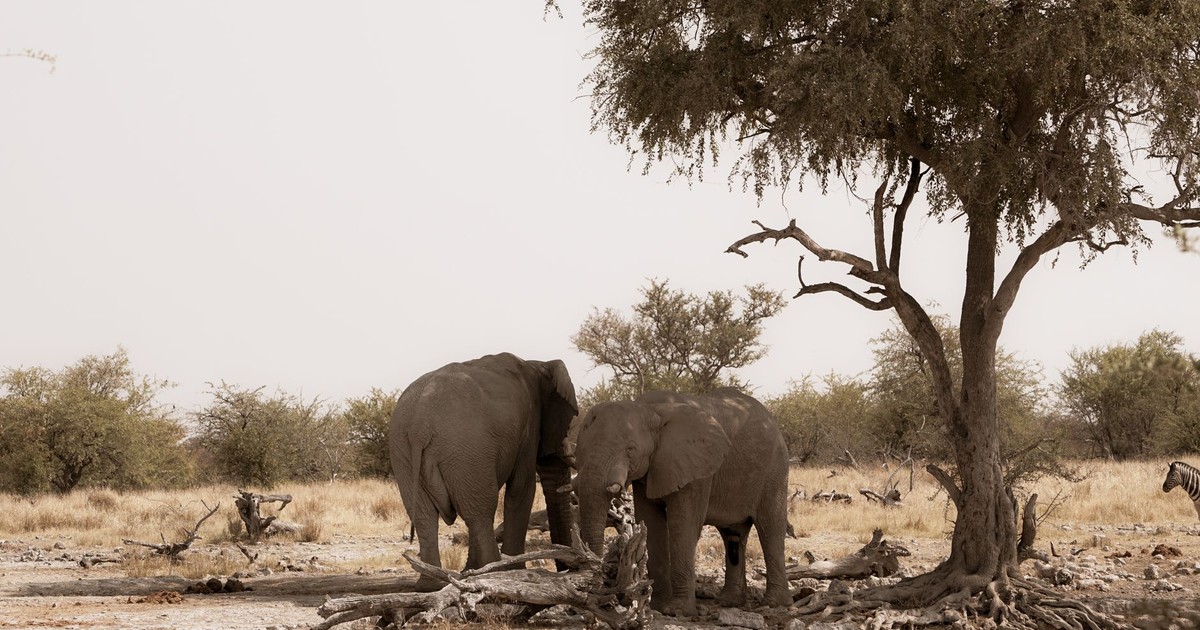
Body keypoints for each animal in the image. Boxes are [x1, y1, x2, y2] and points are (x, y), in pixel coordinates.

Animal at [389, 352, 578, 591]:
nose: (567, 568)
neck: (537, 364)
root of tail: (419, 426)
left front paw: (470, 572)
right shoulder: (529, 427)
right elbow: (521, 489)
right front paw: (514, 571)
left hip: (403, 452)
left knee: (425, 515)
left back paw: (432, 585)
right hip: (465, 448)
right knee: (481, 512)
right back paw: (492, 573)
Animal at [569, 387, 791, 615]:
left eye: (631, 449)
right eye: (580, 450)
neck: (649, 410)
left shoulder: (696, 468)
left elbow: (683, 525)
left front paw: (677, 611)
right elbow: (651, 523)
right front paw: (656, 606)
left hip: (775, 470)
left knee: (770, 528)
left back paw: (774, 603)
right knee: (733, 534)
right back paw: (729, 602)